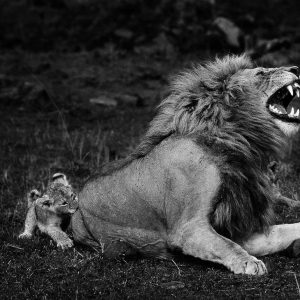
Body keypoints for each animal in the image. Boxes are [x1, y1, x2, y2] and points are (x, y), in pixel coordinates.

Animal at [70, 55, 300, 276]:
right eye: (261, 73)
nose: (296, 68)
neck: (241, 138)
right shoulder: (188, 228)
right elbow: (226, 245)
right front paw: (249, 262)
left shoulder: (236, 227)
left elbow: (282, 231)